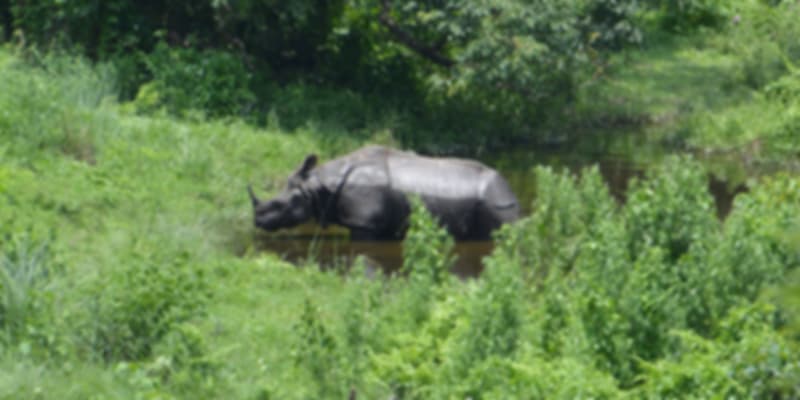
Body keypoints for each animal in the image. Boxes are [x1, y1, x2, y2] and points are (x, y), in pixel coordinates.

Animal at [248, 145, 520, 240]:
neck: (319, 184)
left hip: (495, 202)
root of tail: (509, 189)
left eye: (279, 205)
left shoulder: (363, 223)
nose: (257, 221)